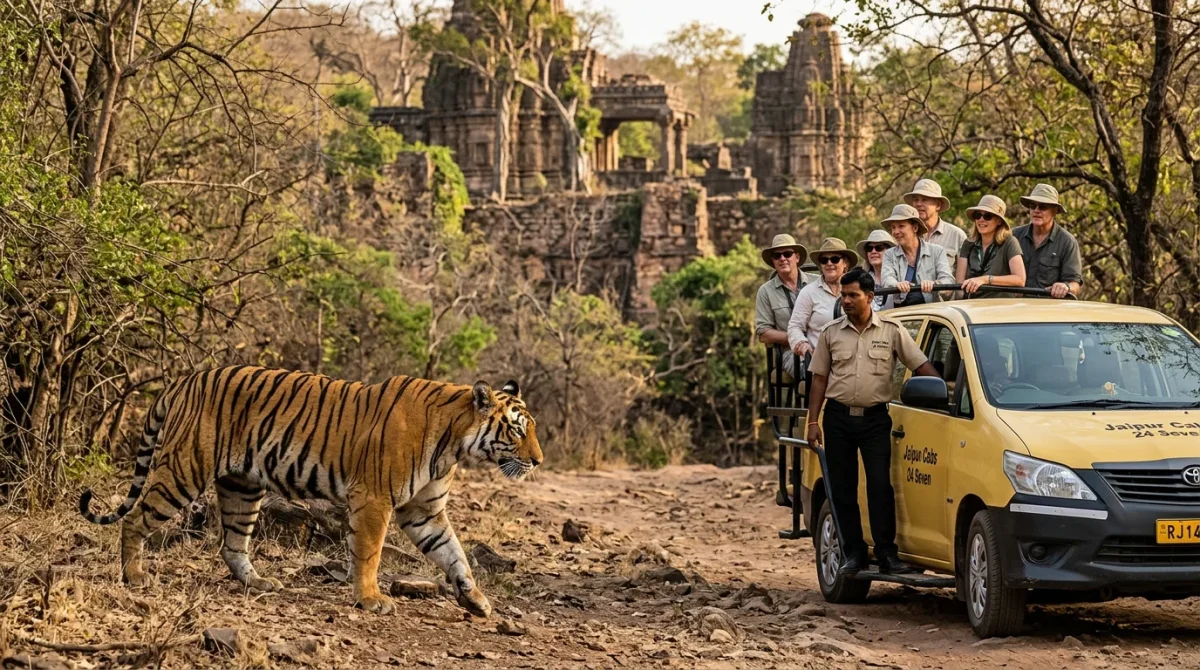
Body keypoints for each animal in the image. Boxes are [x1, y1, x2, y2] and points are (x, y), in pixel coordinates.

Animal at [78, 365, 542, 617]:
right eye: (518, 430)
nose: (538, 461)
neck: (455, 442)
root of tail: (184, 380)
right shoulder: (374, 499)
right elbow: (369, 554)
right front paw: (371, 599)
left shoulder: (424, 510)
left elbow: (454, 553)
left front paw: (476, 600)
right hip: (183, 469)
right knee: (136, 518)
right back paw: (135, 575)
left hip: (243, 488)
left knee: (232, 543)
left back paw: (257, 583)